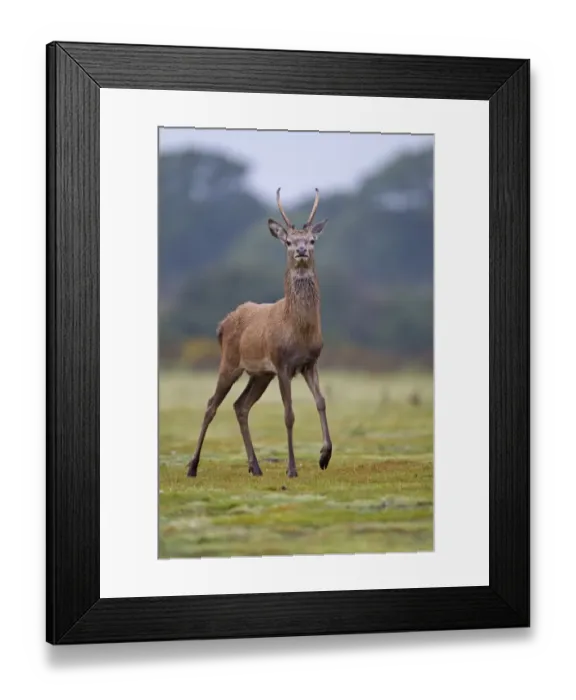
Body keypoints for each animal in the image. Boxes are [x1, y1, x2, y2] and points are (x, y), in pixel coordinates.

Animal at [186, 188, 332, 479]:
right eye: (288, 241)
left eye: (312, 240)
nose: (301, 250)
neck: (298, 330)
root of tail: (221, 325)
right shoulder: (282, 363)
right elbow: (289, 414)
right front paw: (291, 469)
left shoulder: (310, 362)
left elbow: (321, 401)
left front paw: (325, 456)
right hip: (230, 362)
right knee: (211, 404)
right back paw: (193, 466)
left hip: (260, 374)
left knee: (240, 406)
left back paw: (255, 466)